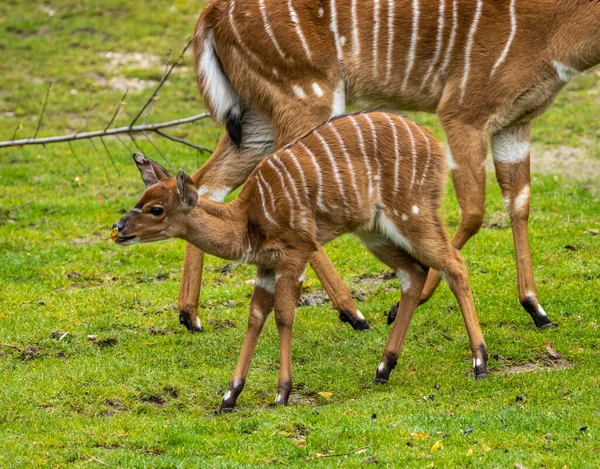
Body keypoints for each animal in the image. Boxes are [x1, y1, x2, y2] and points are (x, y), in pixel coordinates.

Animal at [112, 111, 488, 412]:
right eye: (140, 198)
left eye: (156, 209)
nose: (118, 229)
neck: (247, 222)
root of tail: (435, 145)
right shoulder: (266, 266)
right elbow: (255, 317)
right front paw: (229, 397)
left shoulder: (294, 254)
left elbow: (283, 316)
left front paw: (281, 394)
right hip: (374, 231)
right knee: (414, 271)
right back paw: (383, 369)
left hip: (413, 214)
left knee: (453, 264)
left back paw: (479, 363)